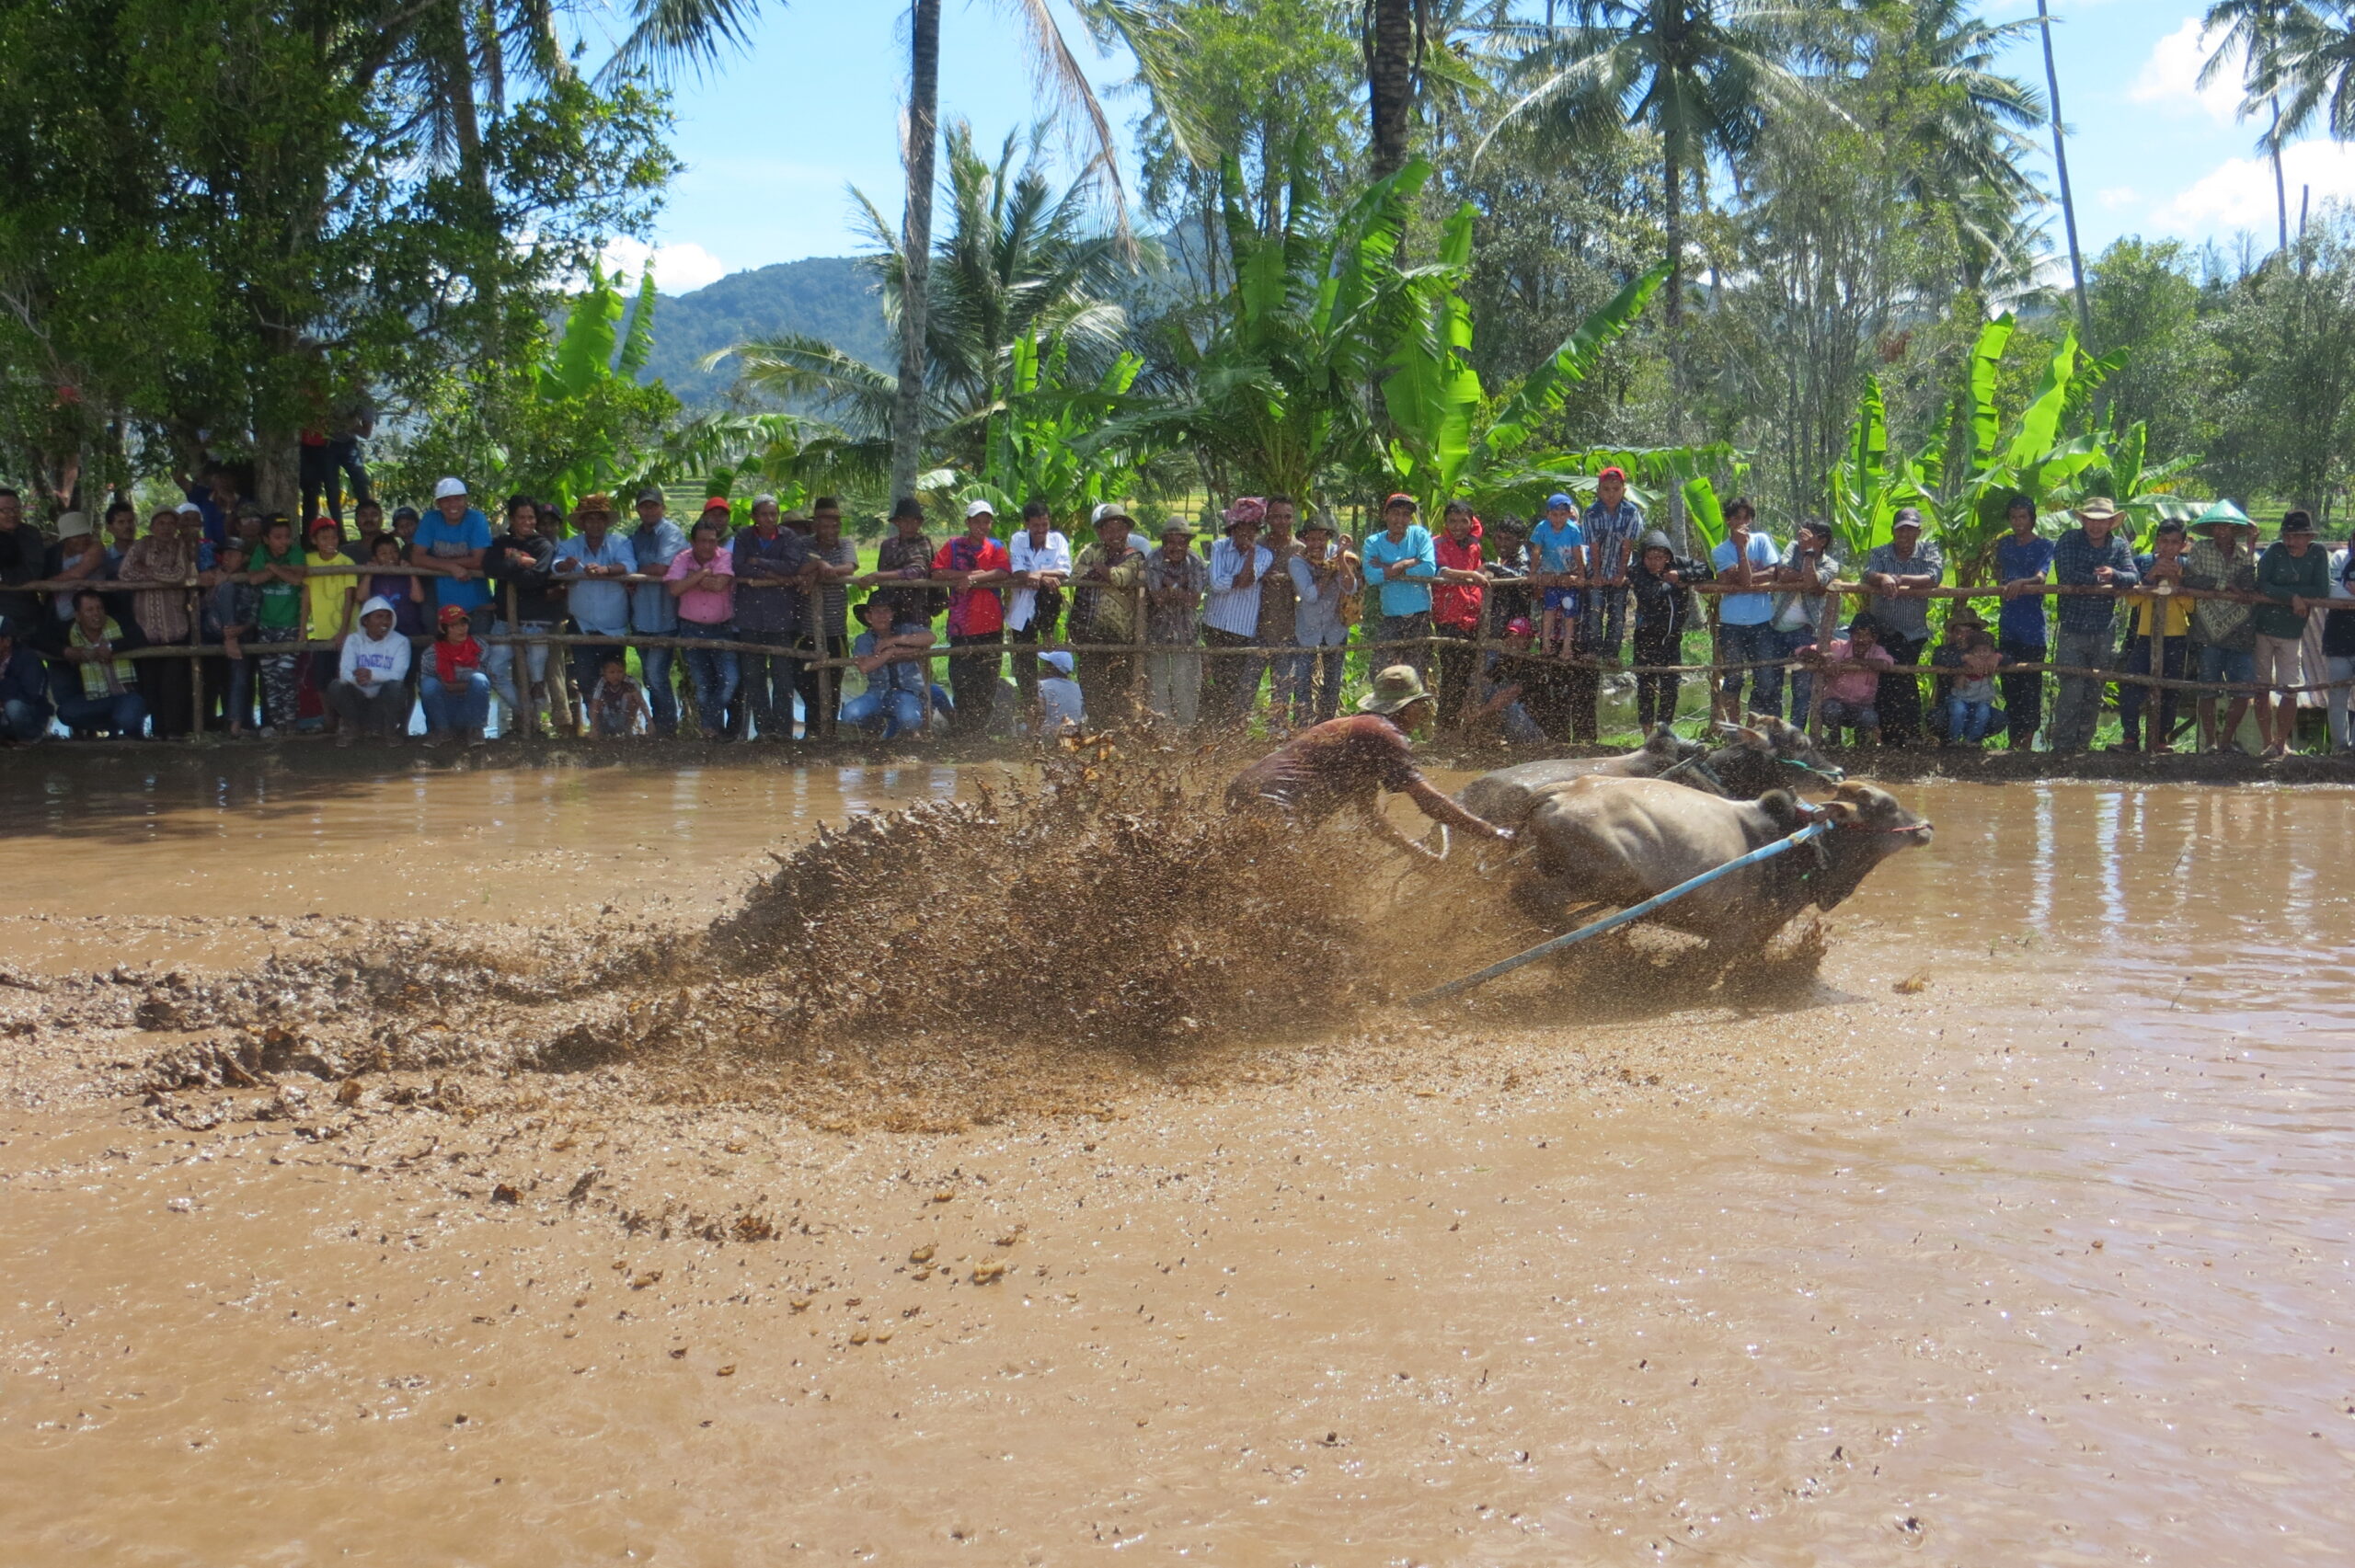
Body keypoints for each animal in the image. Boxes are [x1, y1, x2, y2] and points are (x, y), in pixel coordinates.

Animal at [1507, 772, 1931, 942]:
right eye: (1887, 806)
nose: (1925, 827)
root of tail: (1564, 791)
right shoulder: (1739, 934)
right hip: (1605, 881)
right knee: (1533, 897)